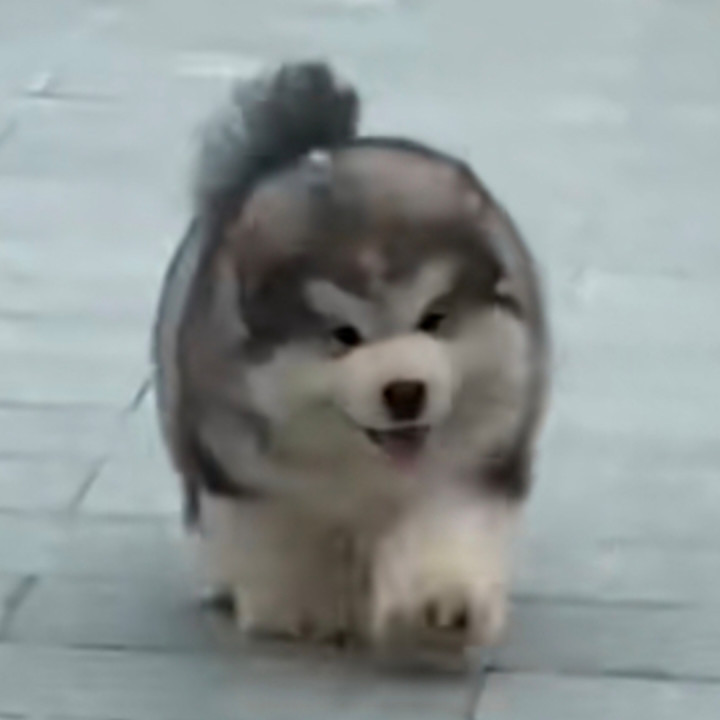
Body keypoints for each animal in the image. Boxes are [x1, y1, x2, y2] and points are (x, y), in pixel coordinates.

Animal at [153, 61, 549, 658]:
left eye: (433, 319)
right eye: (344, 335)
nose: (405, 391)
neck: (365, 462)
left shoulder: (478, 457)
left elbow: (447, 528)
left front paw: (441, 605)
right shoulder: (243, 469)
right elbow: (276, 536)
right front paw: (299, 610)